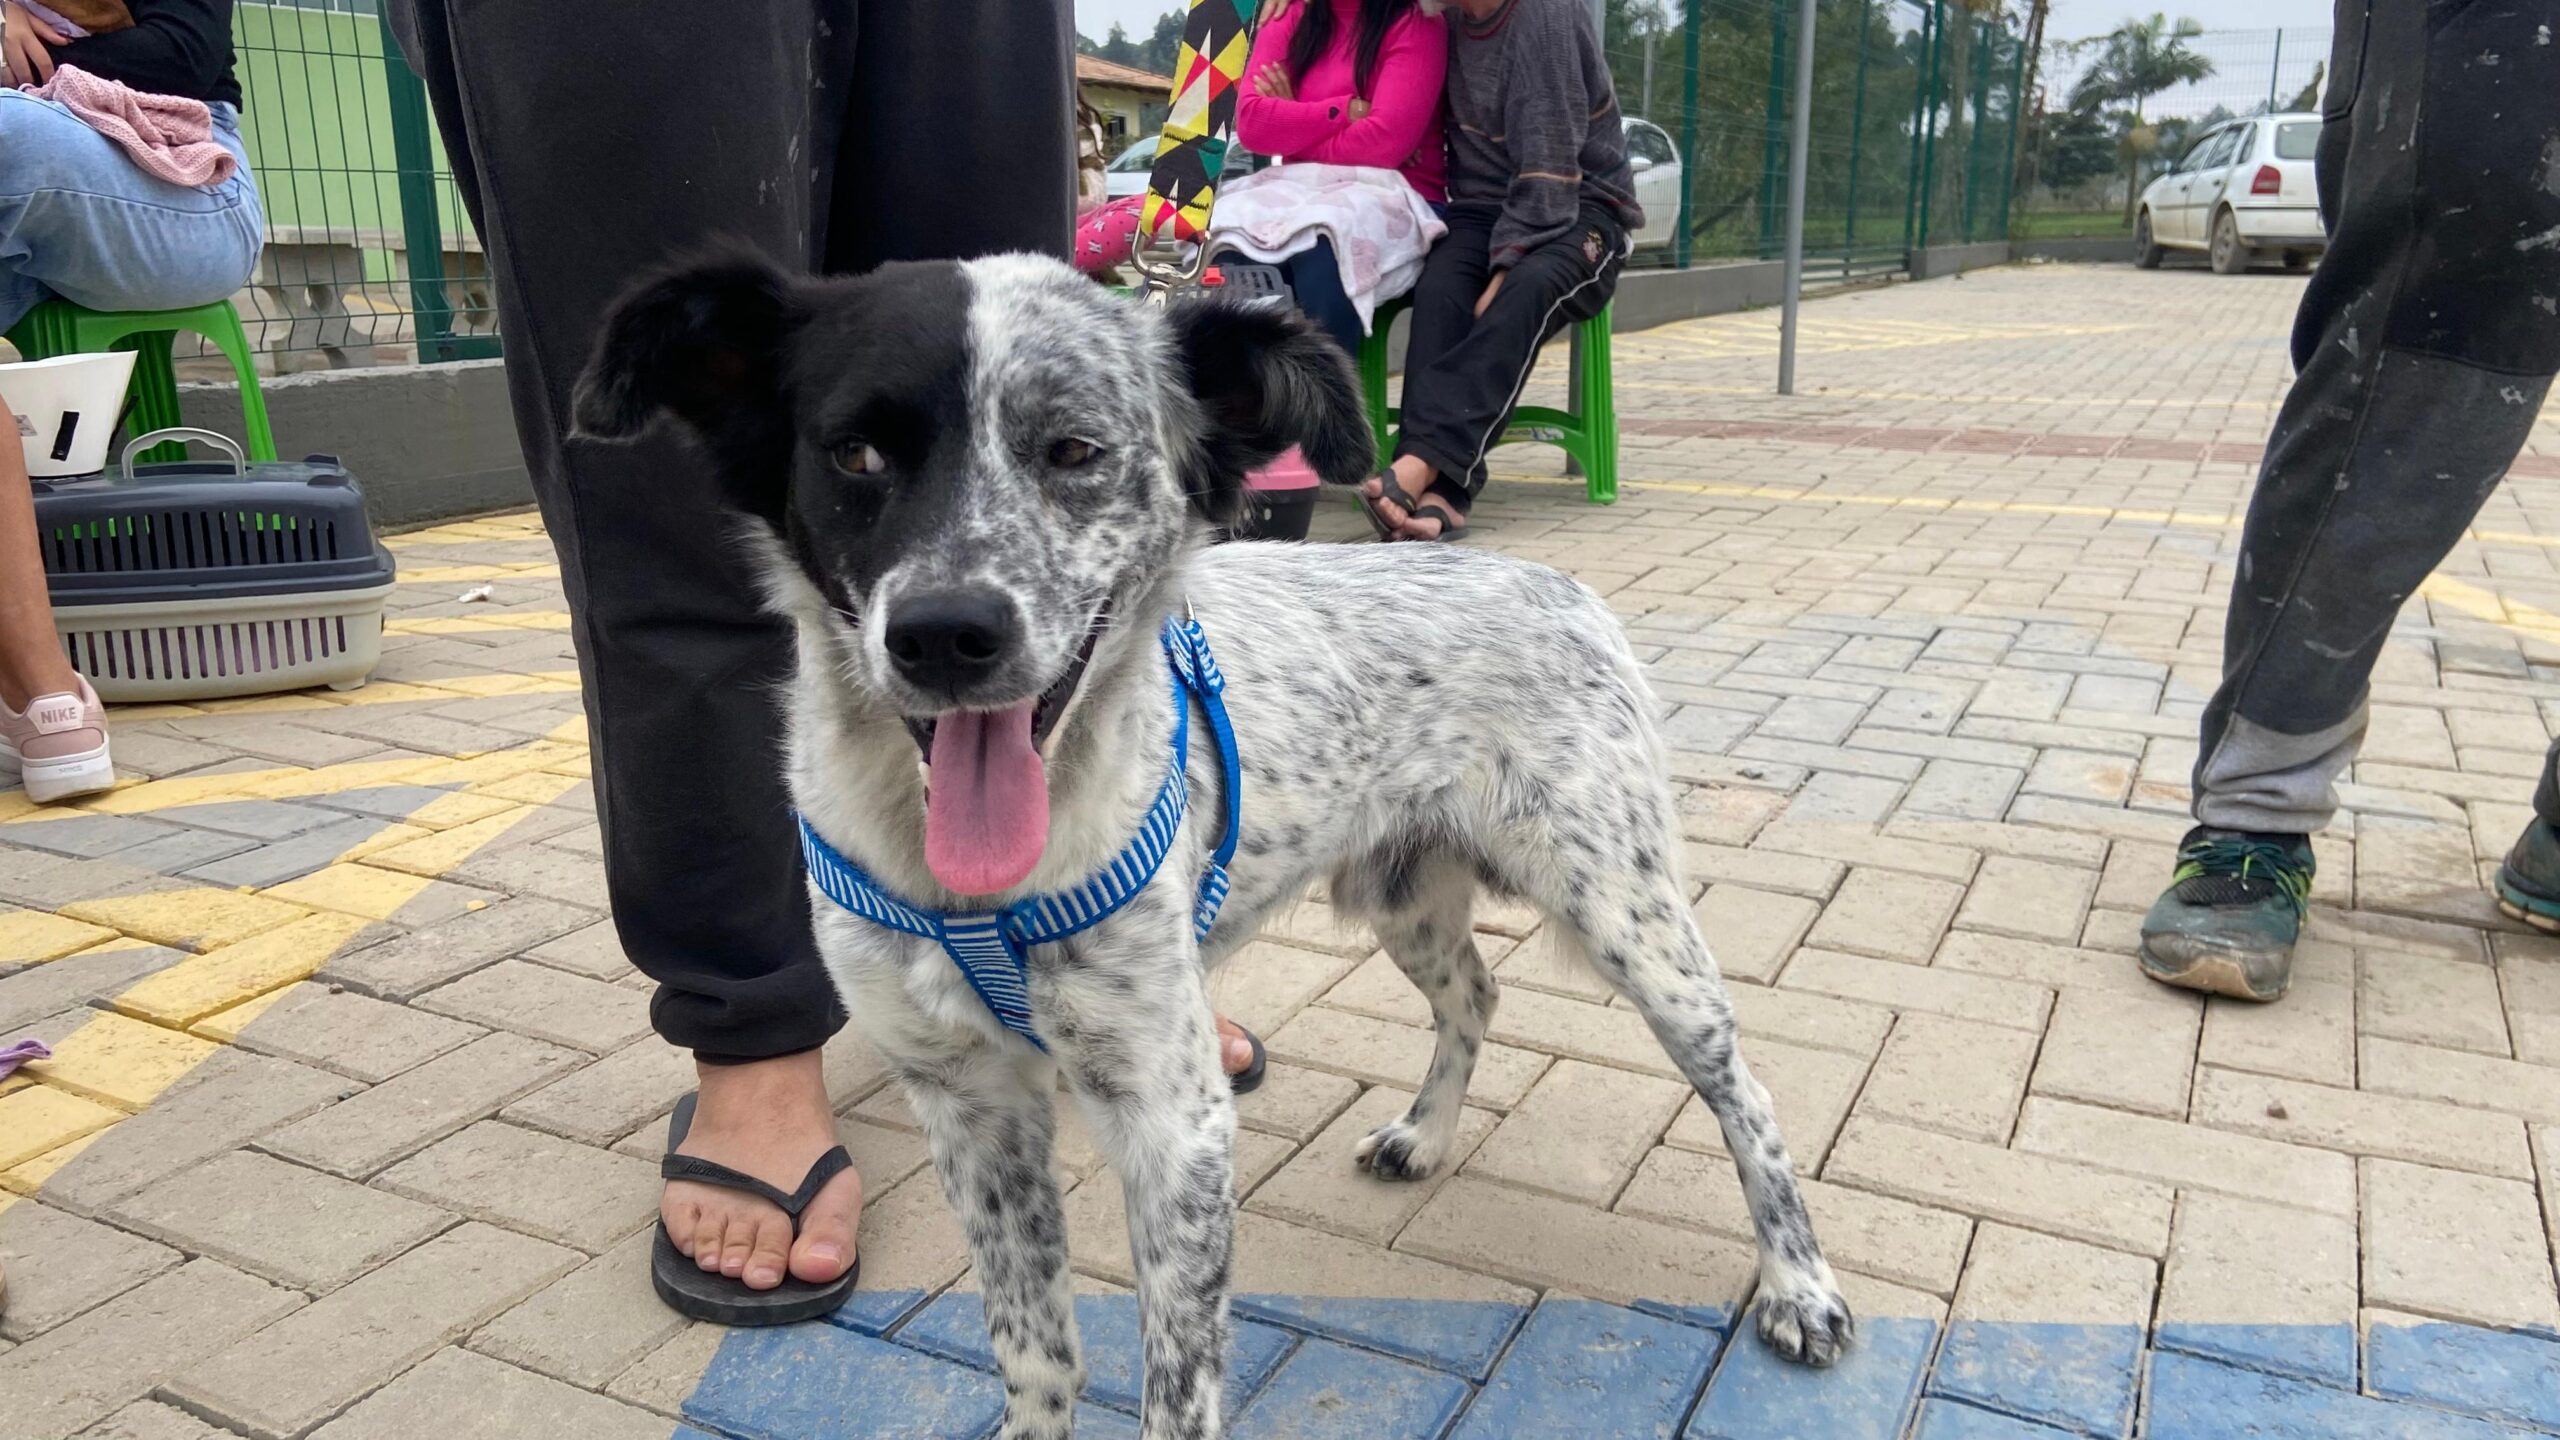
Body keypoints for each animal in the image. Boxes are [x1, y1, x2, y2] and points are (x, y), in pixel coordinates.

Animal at [578, 249, 1853, 1434]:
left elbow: (1174, 1387)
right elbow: (1034, 1352)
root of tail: (1557, 583)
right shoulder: (967, 1104)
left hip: (1629, 915)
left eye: (1074, 449)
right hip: (1403, 896)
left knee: (1744, 1089)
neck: (972, 885)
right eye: (854, 456)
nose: (944, 635)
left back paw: (1799, 1283)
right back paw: (1424, 1135)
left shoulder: (1173, 1119)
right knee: (1475, 995)